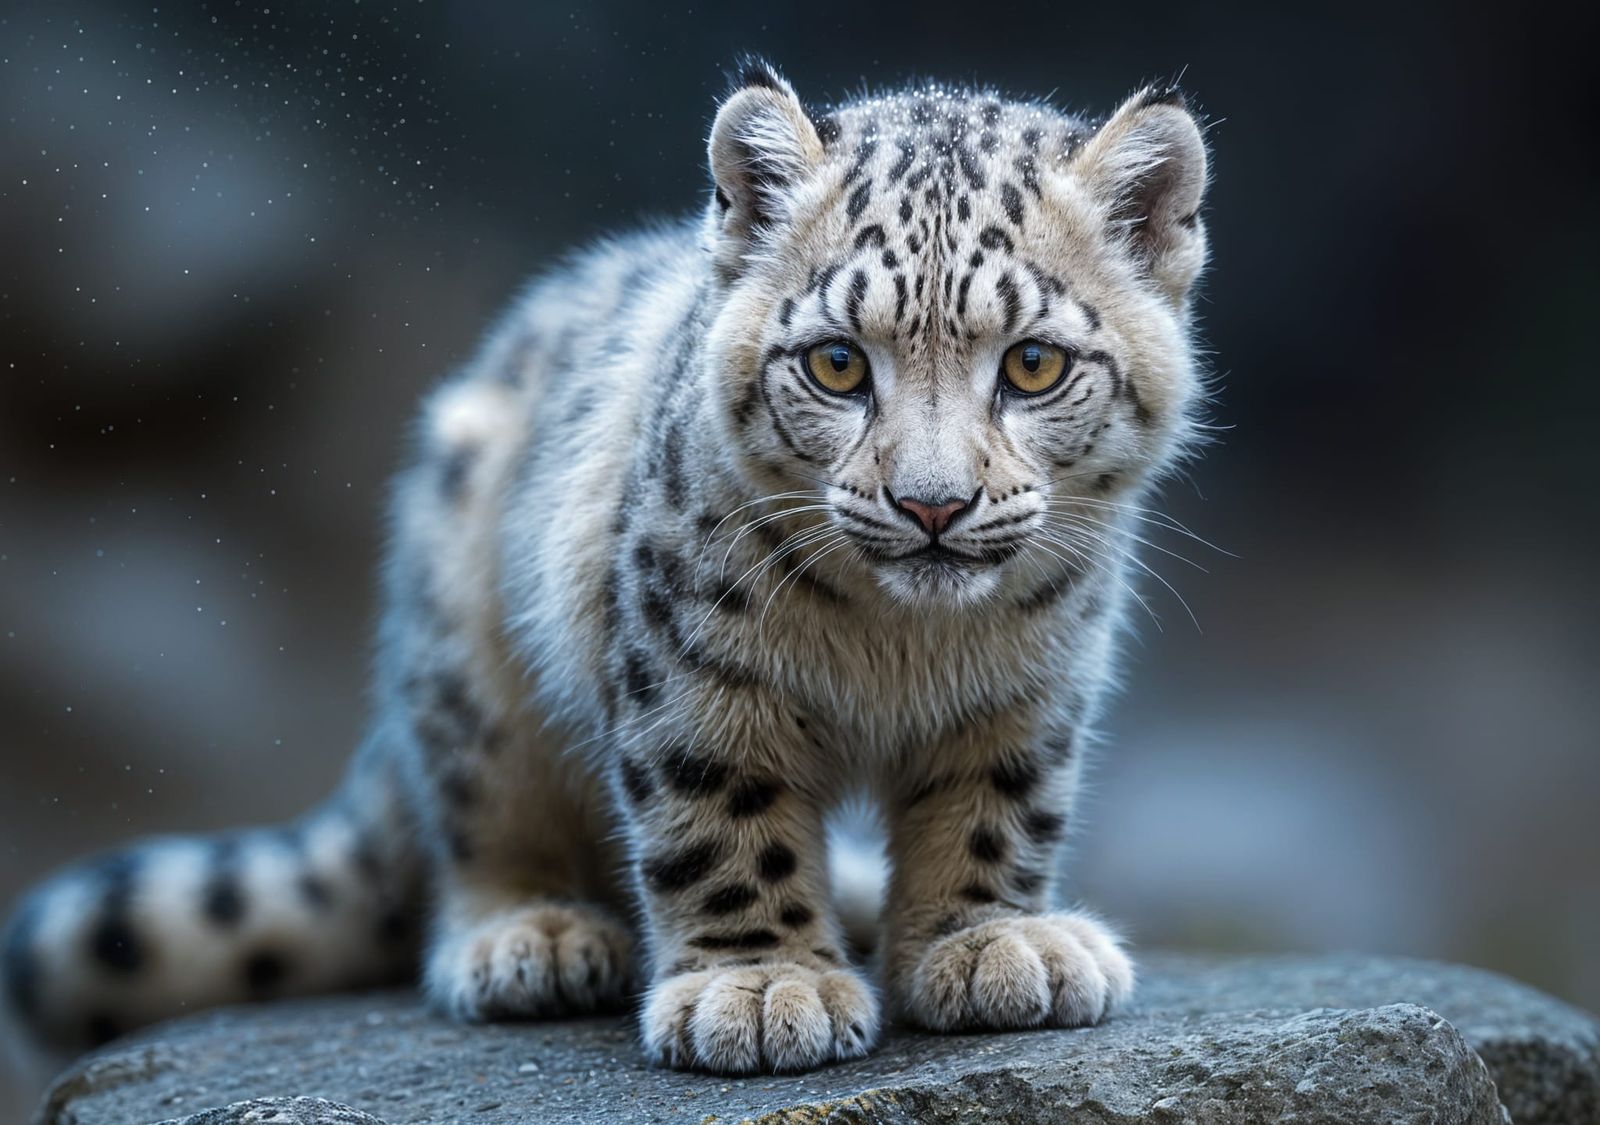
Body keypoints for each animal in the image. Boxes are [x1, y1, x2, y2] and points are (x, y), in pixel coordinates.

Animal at [2, 59, 1211, 1076]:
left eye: (1034, 363)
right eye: (835, 362)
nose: (931, 505)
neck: (902, 643)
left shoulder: (1036, 682)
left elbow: (999, 806)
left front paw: (990, 942)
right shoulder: (695, 662)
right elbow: (721, 816)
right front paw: (760, 986)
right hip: (467, 662)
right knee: (480, 822)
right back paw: (531, 938)